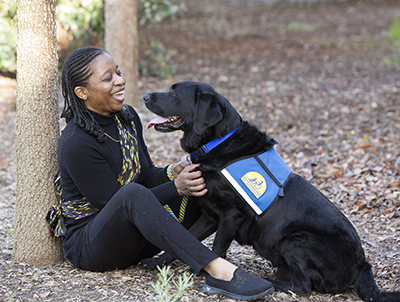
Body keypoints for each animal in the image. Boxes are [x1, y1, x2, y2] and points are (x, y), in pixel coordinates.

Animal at [142, 81, 398, 302]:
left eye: (173, 93)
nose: (144, 96)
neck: (218, 142)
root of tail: (363, 265)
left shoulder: (231, 216)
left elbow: (217, 248)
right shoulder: (210, 215)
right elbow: (186, 237)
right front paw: (159, 261)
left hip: (296, 241)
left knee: (302, 287)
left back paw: (269, 282)